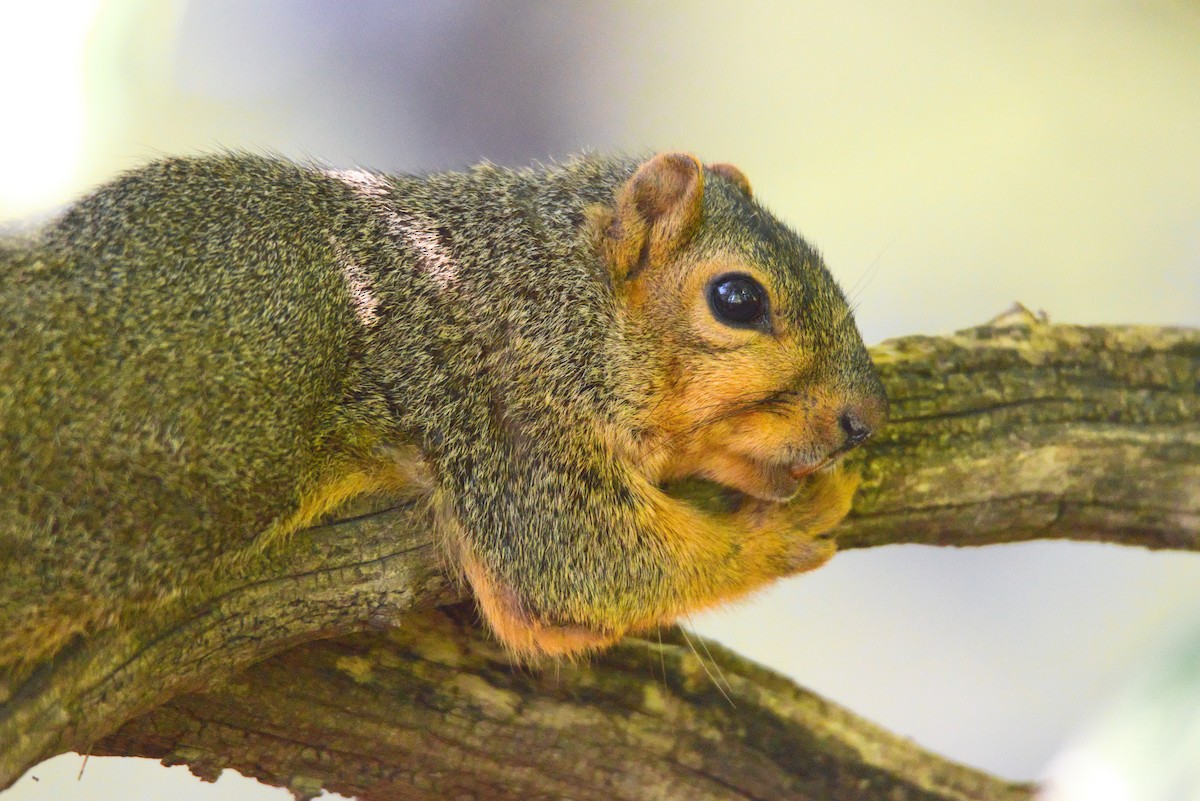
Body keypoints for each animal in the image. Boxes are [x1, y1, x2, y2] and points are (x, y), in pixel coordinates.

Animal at [0, 151, 887, 669]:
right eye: (737, 299)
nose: (866, 417)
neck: (545, 289)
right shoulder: (506, 421)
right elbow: (577, 565)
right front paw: (783, 526)